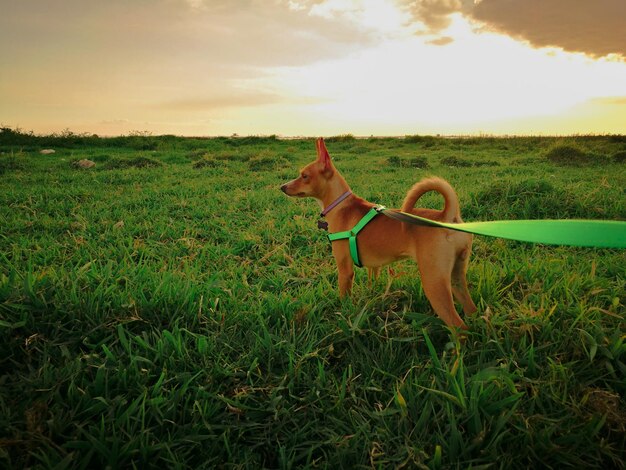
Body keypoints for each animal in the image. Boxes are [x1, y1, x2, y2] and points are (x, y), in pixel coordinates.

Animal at [280, 138, 476, 328]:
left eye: (304, 176)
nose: (282, 187)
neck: (340, 205)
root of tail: (448, 216)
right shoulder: (374, 267)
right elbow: (372, 283)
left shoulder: (345, 270)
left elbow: (344, 297)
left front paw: (342, 315)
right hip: (456, 277)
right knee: (471, 310)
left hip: (434, 282)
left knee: (459, 326)